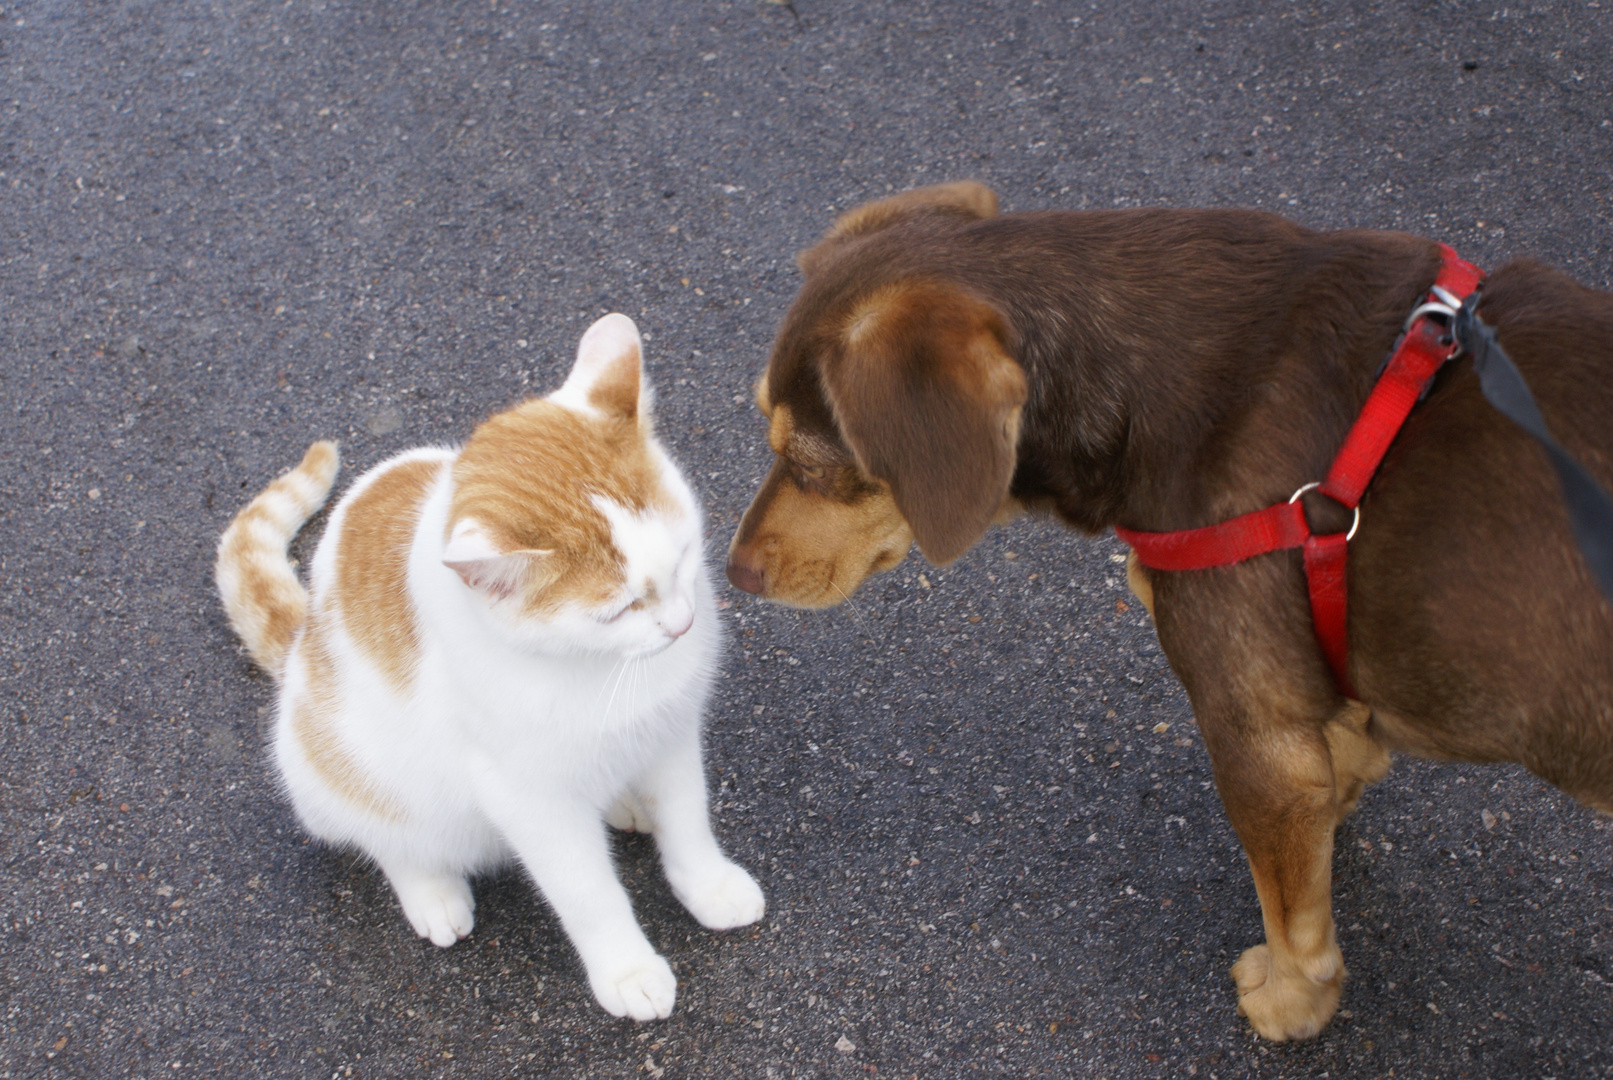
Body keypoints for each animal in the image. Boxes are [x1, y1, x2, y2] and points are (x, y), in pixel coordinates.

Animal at [214, 315, 761, 1025]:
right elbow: (589, 894)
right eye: (618, 610)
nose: (681, 625)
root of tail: (301, 635)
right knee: (389, 839)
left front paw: (708, 885)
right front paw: (628, 970)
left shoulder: (670, 734)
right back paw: (431, 890)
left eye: (686, 554)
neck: (606, 668)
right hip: (332, 772)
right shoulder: (529, 800)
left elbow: (688, 824)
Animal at [732, 182, 1613, 1044]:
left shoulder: (1254, 740)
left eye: (807, 460)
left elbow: (1290, 917)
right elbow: (1331, 799)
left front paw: (1289, 1005)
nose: (733, 571)